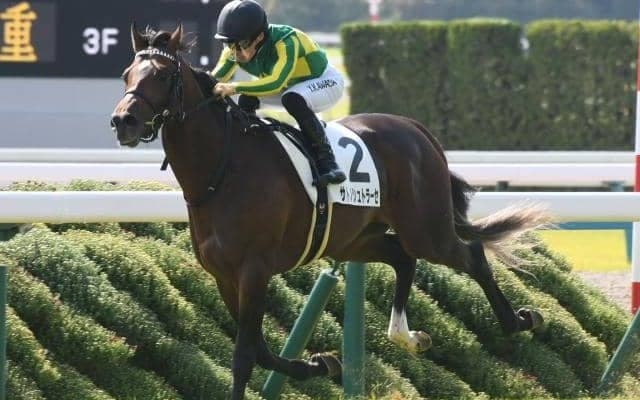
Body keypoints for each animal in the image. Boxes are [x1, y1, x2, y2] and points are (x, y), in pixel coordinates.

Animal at [111, 24, 547, 400]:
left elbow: (245, 355)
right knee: (402, 257)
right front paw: (320, 364)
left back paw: (520, 320)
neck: (222, 171)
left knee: (469, 254)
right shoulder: (224, 275)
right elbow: (261, 348)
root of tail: (414, 128)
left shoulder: (253, 270)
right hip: (355, 239)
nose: (122, 121)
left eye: (162, 75)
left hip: (426, 228)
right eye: (127, 74)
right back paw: (407, 336)